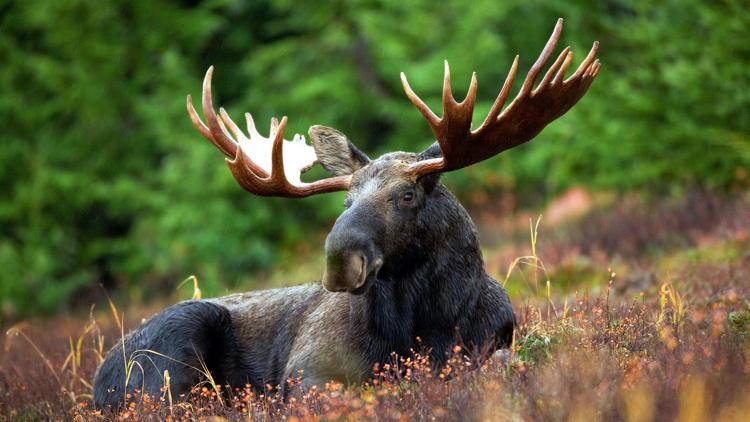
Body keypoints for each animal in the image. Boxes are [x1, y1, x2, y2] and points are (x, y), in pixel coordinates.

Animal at [94, 19, 604, 408]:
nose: (340, 260)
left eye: (407, 195)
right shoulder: (307, 371)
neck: (426, 325)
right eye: (346, 201)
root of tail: (98, 381)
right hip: (175, 347)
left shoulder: (494, 343)